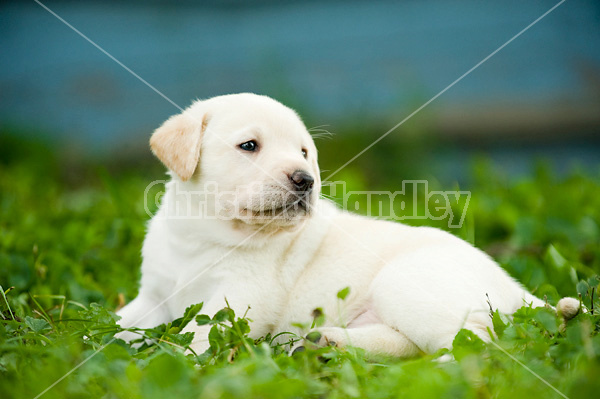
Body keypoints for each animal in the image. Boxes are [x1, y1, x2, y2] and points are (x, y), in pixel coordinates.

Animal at [115, 93, 580, 356]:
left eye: (304, 152)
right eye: (249, 146)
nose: (305, 180)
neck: (204, 234)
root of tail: (514, 288)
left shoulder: (241, 299)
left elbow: (196, 337)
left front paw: (172, 356)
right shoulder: (152, 296)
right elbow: (121, 323)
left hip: (406, 285)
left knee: (478, 344)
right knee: (411, 343)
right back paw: (328, 342)